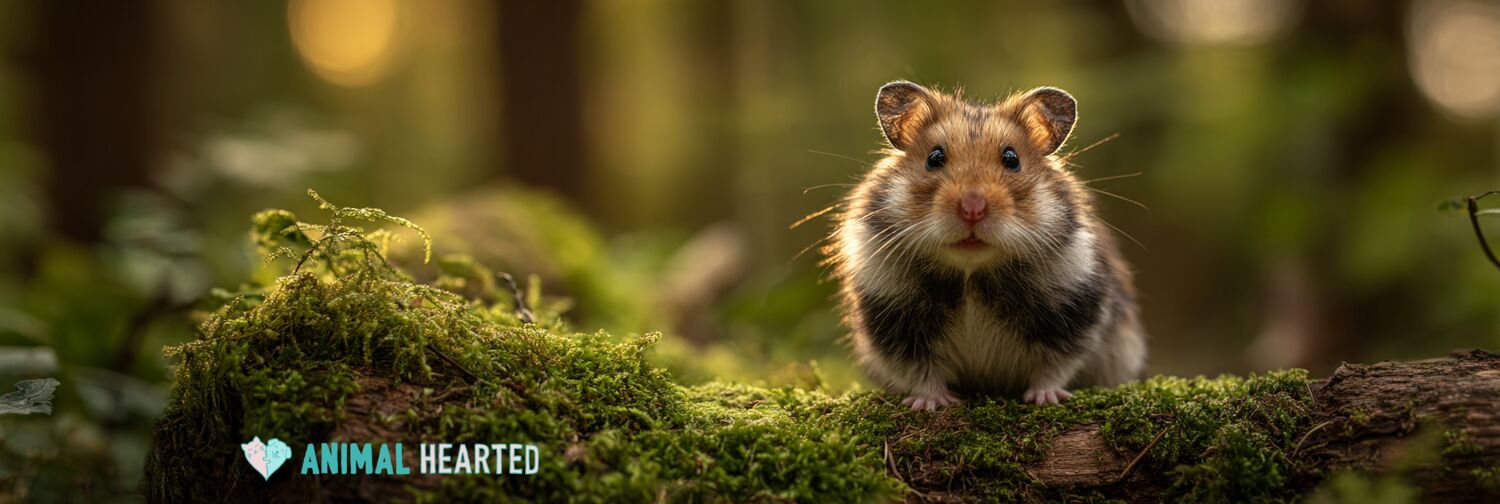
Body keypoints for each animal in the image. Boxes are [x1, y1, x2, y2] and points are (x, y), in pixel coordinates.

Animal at [825, 81, 1146, 410]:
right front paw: (928, 403)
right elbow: (920, 371)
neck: (971, 272)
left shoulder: (1074, 311)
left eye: (1012, 159)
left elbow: (1055, 365)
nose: (972, 209)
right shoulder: (893, 321)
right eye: (934, 158)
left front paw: (1046, 398)